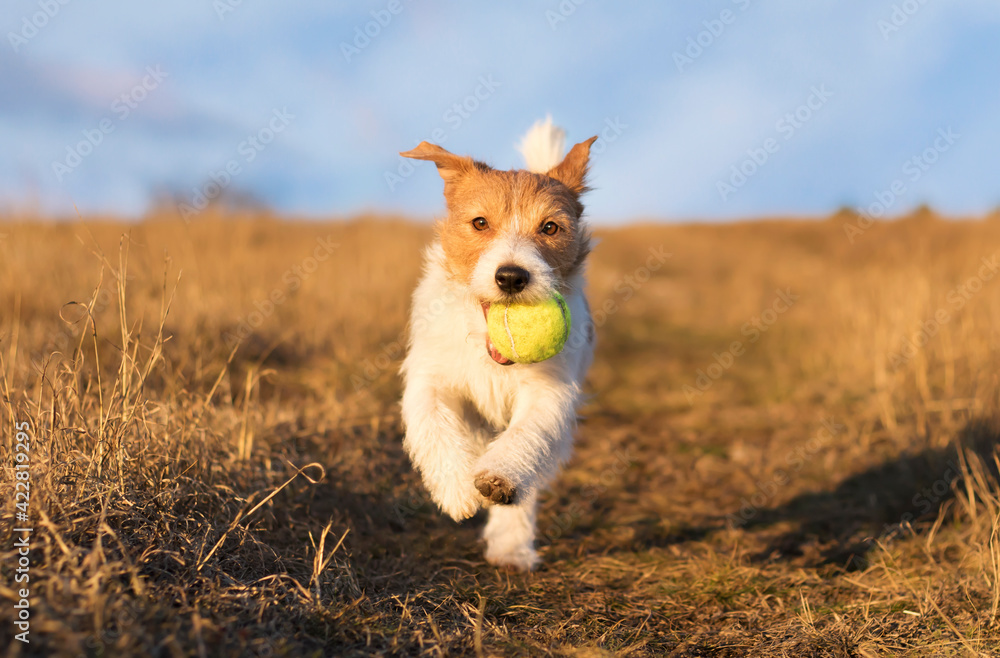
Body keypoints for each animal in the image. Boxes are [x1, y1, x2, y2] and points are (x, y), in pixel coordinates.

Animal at [398, 118, 596, 568]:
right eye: (480, 223)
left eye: (550, 227)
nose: (511, 277)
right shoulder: (431, 378)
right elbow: (432, 423)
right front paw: (455, 489)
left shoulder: (548, 392)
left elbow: (526, 435)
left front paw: (497, 479)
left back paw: (510, 545)